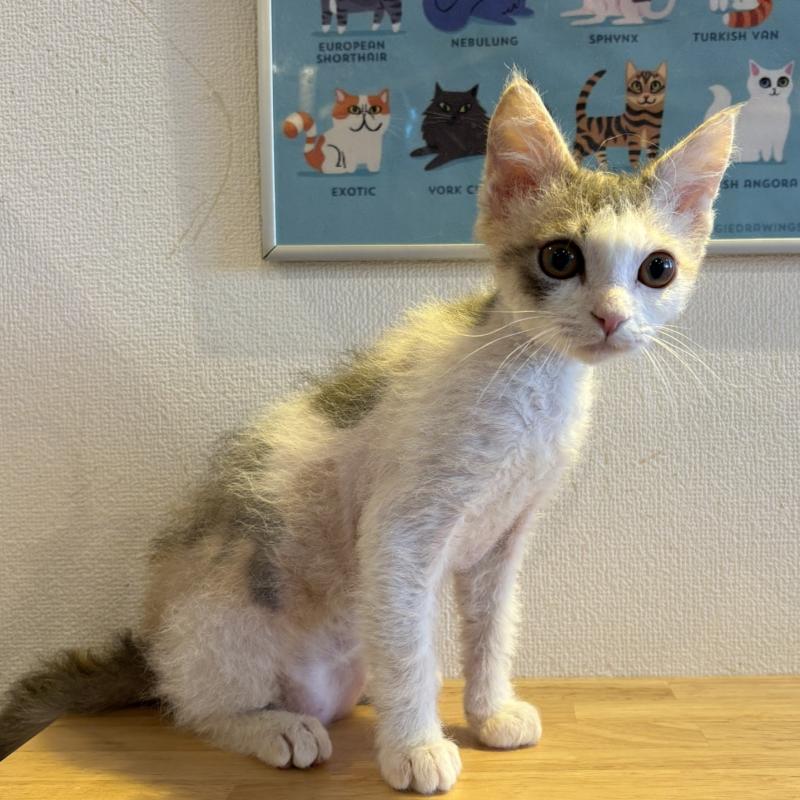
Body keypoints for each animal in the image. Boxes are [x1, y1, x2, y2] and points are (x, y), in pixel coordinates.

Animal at [0, 74, 738, 794]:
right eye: (560, 258)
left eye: (657, 270)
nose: (611, 318)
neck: (533, 384)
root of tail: (154, 645)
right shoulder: (400, 533)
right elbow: (412, 650)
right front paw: (416, 748)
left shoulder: (502, 537)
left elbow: (491, 628)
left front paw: (488, 712)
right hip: (227, 616)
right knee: (194, 708)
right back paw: (273, 727)